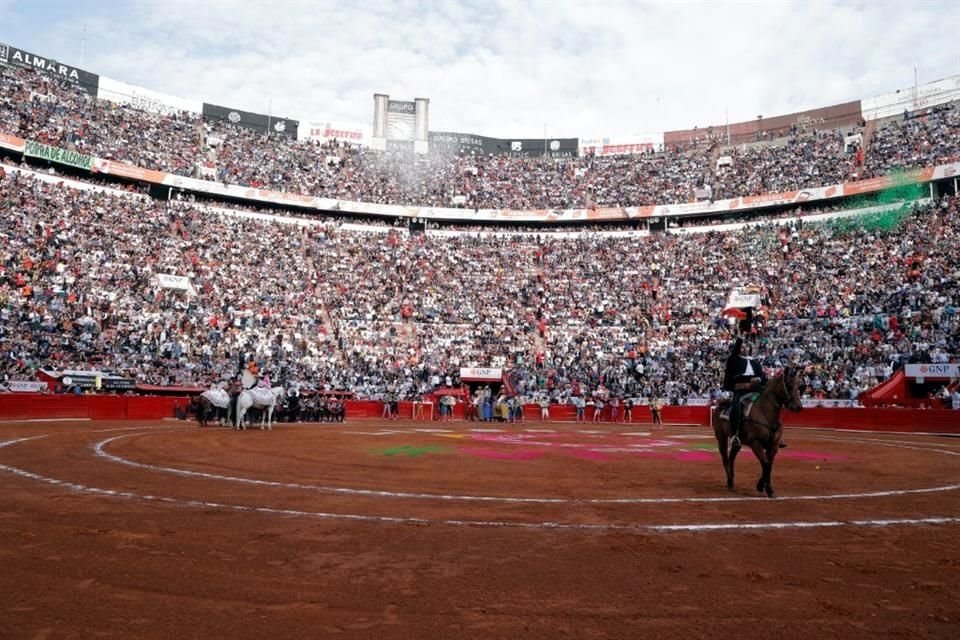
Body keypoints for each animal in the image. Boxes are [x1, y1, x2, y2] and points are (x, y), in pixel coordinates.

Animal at [712, 368, 804, 498]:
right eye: (789, 386)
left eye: (798, 386)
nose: (798, 407)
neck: (767, 414)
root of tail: (720, 404)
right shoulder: (755, 443)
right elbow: (765, 463)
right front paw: (760, 486)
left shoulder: (773, 446)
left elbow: (769, 465)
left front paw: (770, 490)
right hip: (721, 437)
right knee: (725, 458)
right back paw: (729, 481)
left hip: (737, 442)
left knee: (731, 457)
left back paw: (732, 480)